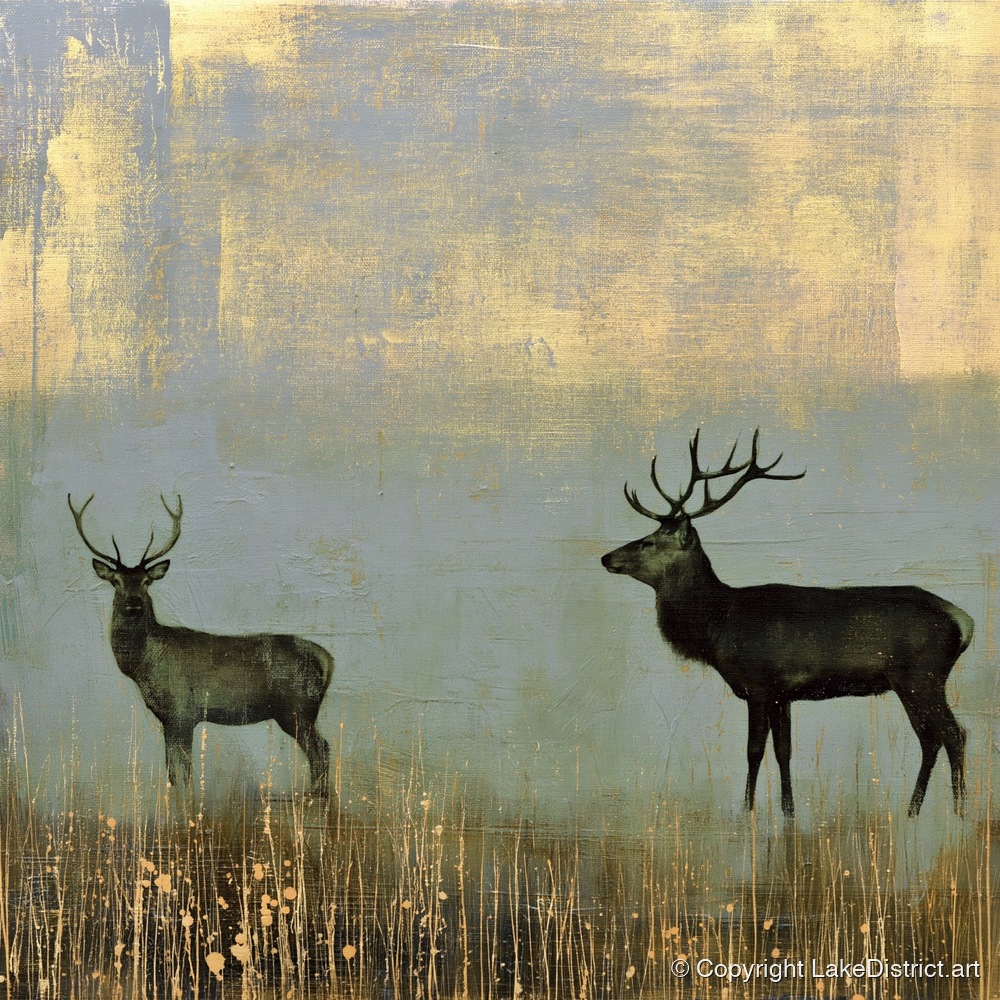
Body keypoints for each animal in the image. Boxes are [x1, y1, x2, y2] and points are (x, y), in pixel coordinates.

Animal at [69, 493, 334, 797]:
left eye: (146, 581)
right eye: (116, 581)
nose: (133, 602)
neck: (144, 666)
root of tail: (328, 659)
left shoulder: (182, 710)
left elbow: (184, 774)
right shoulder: (169, 718)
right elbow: (173, 773)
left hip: (298, 707)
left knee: (321, 749)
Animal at [601, 430, 973, 819]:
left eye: (648, 542)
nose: (606, 557)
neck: (718, 626)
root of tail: (964, 621)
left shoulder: (759, 684)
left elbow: (753, 751)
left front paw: (746, 812)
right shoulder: (784, 693)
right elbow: (784, 752)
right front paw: (788, 812)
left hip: (922, 675)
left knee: (954, 734)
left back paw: (960, 812)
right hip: (910, 681)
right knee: (929, 738)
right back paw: (912, 810)